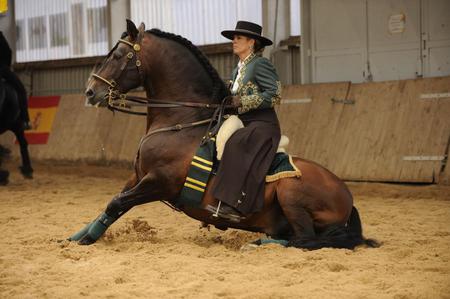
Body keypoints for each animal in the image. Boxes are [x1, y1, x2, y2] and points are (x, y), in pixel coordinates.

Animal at [68, 20, 378, 251]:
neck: (182, 122)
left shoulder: (158, 183)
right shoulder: (137, 176)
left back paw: (257, 243)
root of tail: (348, 196)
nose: (91, 91)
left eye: (118, 56)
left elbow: (117, 202)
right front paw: (78, 236)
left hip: (291, 192)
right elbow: (112, 205)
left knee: (305, 239)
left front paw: (84, 239)